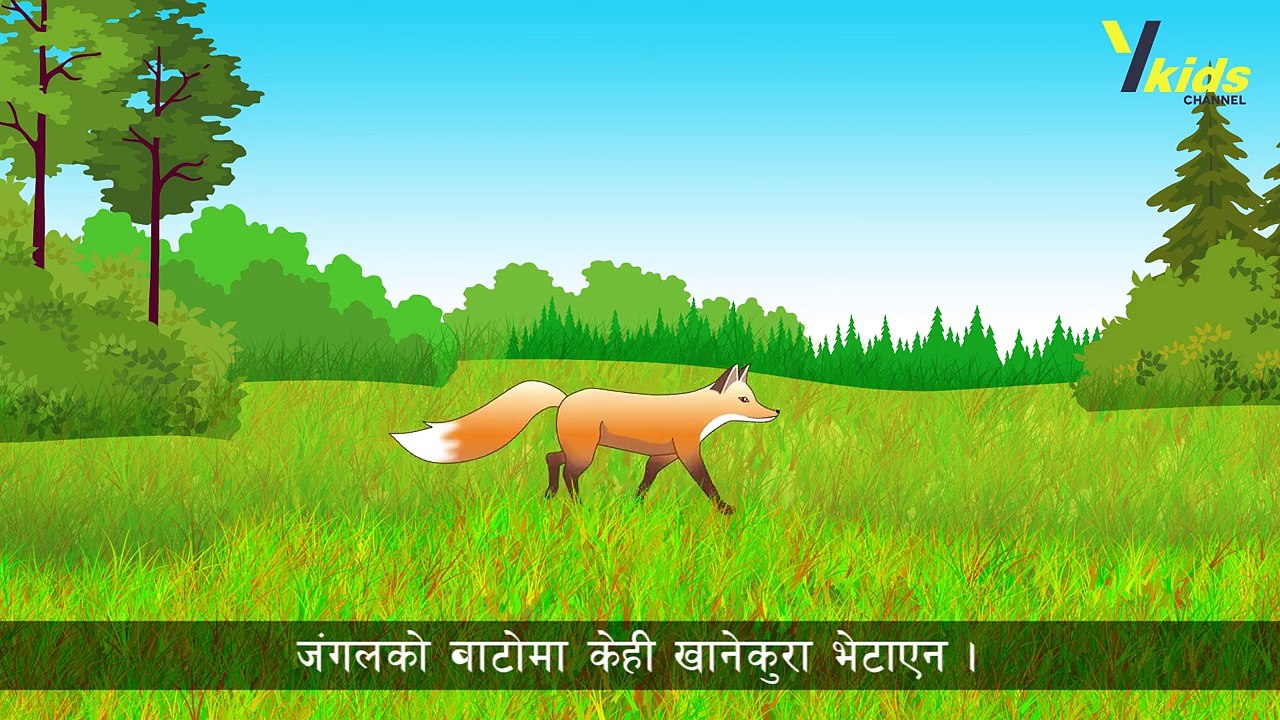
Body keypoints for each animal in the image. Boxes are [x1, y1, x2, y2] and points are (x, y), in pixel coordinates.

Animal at [390, 365, 780, 515]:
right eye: (744, 400)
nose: (774, 412)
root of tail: (564, 398)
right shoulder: (687, 452)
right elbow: (706, 482)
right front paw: (725, 509)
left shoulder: (665, 456)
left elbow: (646, 480)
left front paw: (635, 505)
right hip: (586, 452)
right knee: (569, 471)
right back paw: (577, 505)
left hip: (577, 449)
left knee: (551, 458)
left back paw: (551, 497)